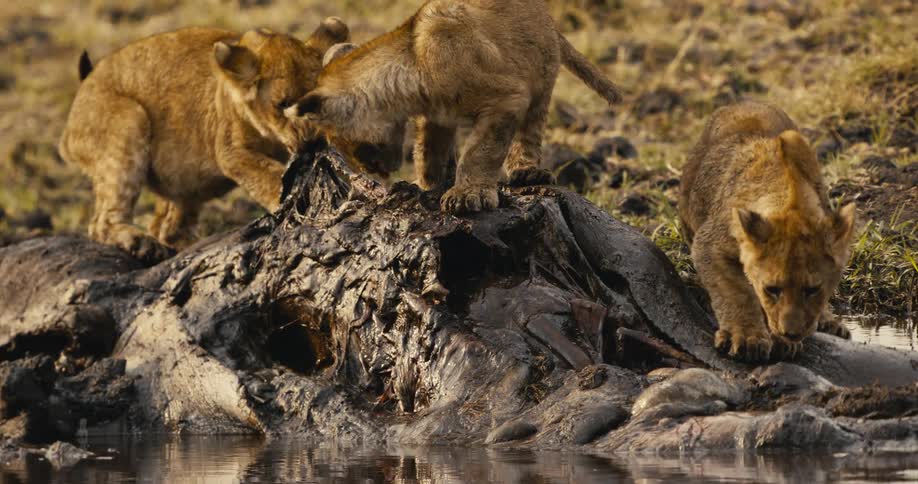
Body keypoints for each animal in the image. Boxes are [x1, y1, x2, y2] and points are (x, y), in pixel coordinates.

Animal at [58, 18, 349, 262]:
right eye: (283, 104)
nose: (313, 140)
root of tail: (84, 84)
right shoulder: (232, 151)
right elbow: (274, 180)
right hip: (127, 121)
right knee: (101, 224)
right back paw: (142, 244)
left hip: (181, 186)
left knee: (166, 227)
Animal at [287, 0, 623, 214]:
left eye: (358, 149)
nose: (378, 174)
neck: (412, 61)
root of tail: (550, 19)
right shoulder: (436, 116)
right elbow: (428, 151)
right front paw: (428, 185)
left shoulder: (507, 98)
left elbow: (480, 152)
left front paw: (466, 195)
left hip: (541, 78)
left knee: (530, 130)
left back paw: (528, 173)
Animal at [679, 102, 856, 362]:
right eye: (771, 289)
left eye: (813, 289)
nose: (791, 333)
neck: (791, 197)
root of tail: (742, 102)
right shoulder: (709, 243)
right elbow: (736, 290)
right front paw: (746, 337)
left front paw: (781, 340)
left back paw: (828, 322)